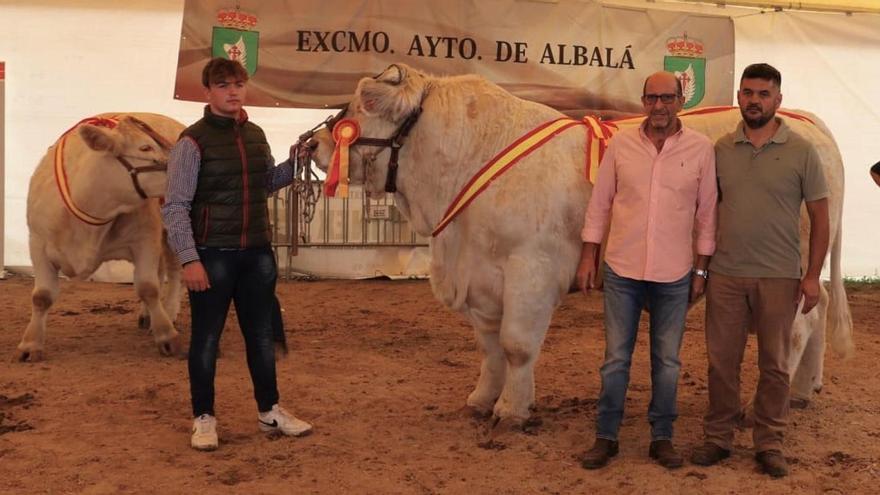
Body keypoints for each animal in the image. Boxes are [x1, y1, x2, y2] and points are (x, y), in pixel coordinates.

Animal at [17, 112, 186, 362]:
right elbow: (42, 296)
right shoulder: (38, 243)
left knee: (174, 272)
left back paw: (170, 311)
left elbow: (148, 288)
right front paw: (30, 345)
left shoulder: (145, 238)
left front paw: (167, 336)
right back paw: (146, 316)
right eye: (145, 147)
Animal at [310, 65, 852, 426]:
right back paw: (805, 389)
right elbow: (489, 347)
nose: (314, 145)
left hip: (788, 271)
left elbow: (516, 345)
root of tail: (804, 121)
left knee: (796, 329)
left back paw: (766, 404)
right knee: (822, 305)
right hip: (809, 270)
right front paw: (482, 400)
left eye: (363, 106)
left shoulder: (530, 268)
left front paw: (512, 410)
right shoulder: (482, 277)